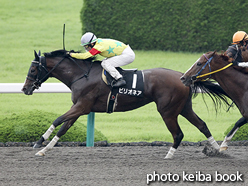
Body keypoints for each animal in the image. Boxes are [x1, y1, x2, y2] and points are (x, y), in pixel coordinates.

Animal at [22, 49, 228, 158]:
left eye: (32, 69)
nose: (25, 89)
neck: (81, 75)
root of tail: (182, 76)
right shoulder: (80, 109)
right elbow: (63, 128)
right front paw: (45, 149)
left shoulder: (82, 106)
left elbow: (57, 120)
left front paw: (39, 142)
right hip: (184, 107)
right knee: (202, 125)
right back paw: (219, 150)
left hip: (167, 111)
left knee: (178, 134)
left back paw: (168, 155)